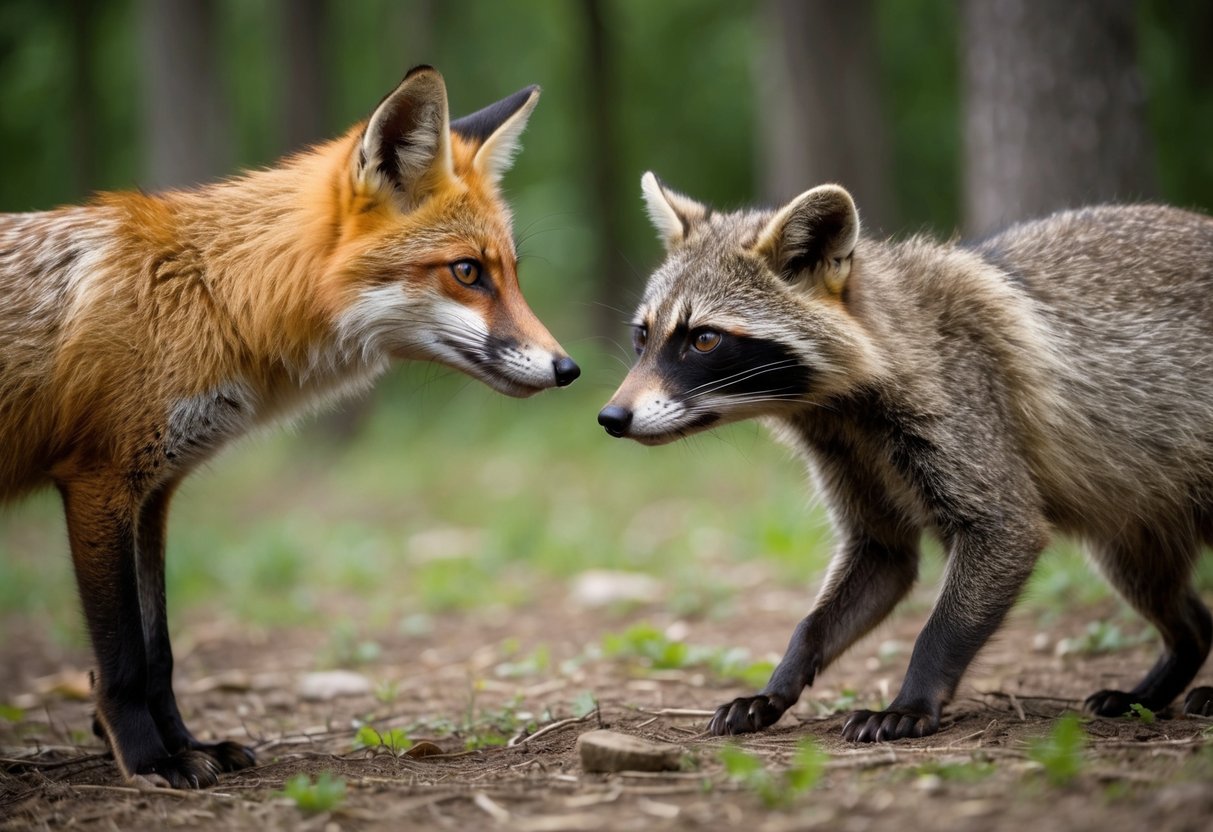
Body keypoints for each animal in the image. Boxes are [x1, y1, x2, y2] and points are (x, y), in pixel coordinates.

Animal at [0, 66, 579, 787]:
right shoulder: (99, 481)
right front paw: (146, 757)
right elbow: (125, 654)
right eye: (468, 272)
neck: (214, 299)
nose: (568, 368)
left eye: (511, 273)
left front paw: (185, 744)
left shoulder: (153, 494)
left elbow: (160, 650)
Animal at [598, 171, 1213, 741]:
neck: (843, 406)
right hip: (1132, 526)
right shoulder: (857, 474)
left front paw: (914, 698)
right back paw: (1168, 669)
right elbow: (846, 594)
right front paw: (780, 681)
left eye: (703, 339)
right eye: (643, 336)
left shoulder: (970, 426)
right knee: (1187, 617)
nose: (610, 418)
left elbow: (968, 585)